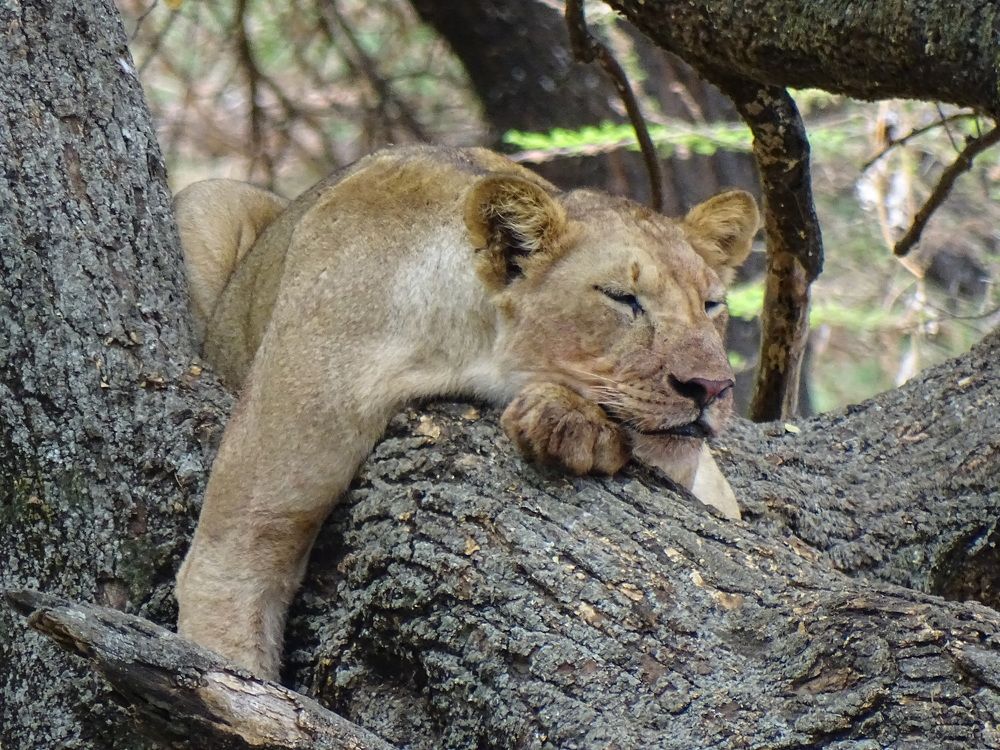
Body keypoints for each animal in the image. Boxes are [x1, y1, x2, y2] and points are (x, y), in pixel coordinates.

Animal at [173, 146, 759, 679]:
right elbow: (228, 604)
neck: (463, 352)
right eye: (621, 297)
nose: (711, 387)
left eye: (712, 305)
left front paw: (569, 424)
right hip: (206, 201)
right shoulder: (258, 512)